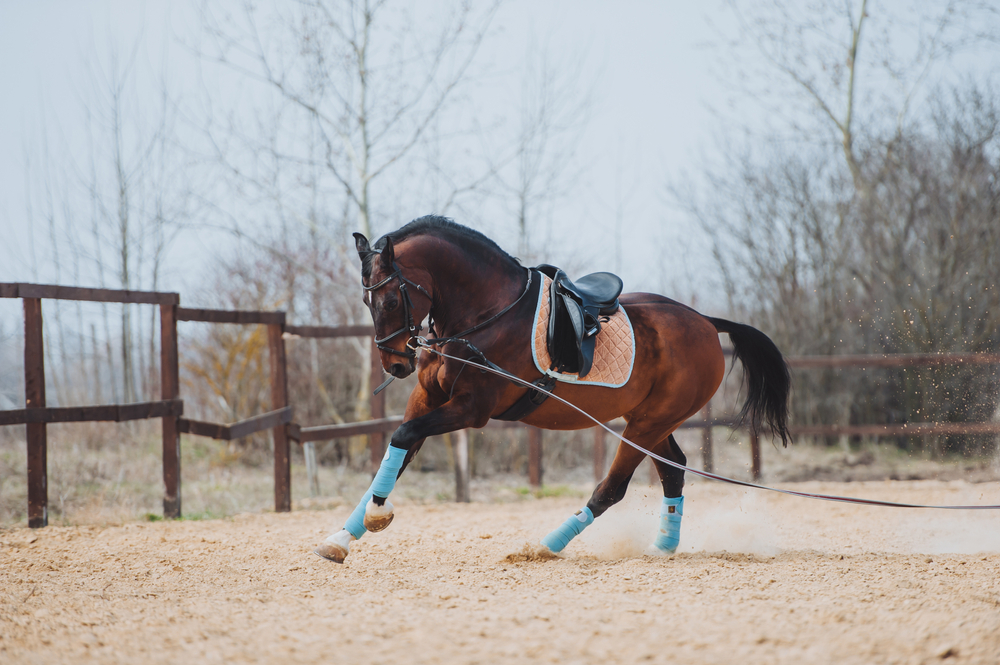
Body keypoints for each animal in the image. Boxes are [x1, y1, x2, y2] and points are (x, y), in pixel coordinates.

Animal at [315, 215, 790, 563]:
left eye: (392, 300)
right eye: (366, 302)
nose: (396, 365)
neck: (484, 315)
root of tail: (707, 322)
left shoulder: (471, 409)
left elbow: (403, 435)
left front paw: (377, 515)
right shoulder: (426, 399)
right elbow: (397, 452)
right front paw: (343, 536)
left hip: (649, 423)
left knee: (612, 489)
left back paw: (547, 546)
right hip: (650, 421)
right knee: (673, 470)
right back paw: (661, 548)